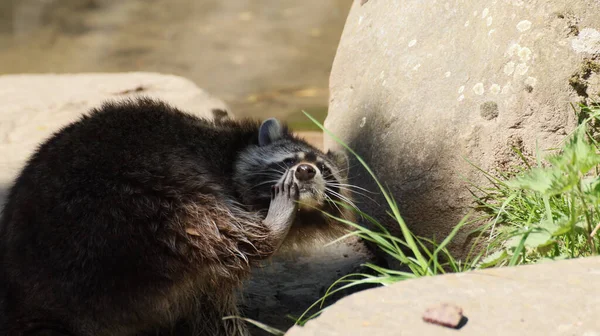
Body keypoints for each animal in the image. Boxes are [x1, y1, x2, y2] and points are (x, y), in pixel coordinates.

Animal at [0, 98, 352, 336]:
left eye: (323, 169)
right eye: (290, 160)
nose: (305, 172)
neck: (230, 152)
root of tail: (33, 302)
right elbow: (217, 293)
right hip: (140, 206)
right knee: (220, 229)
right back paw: (271, 229)